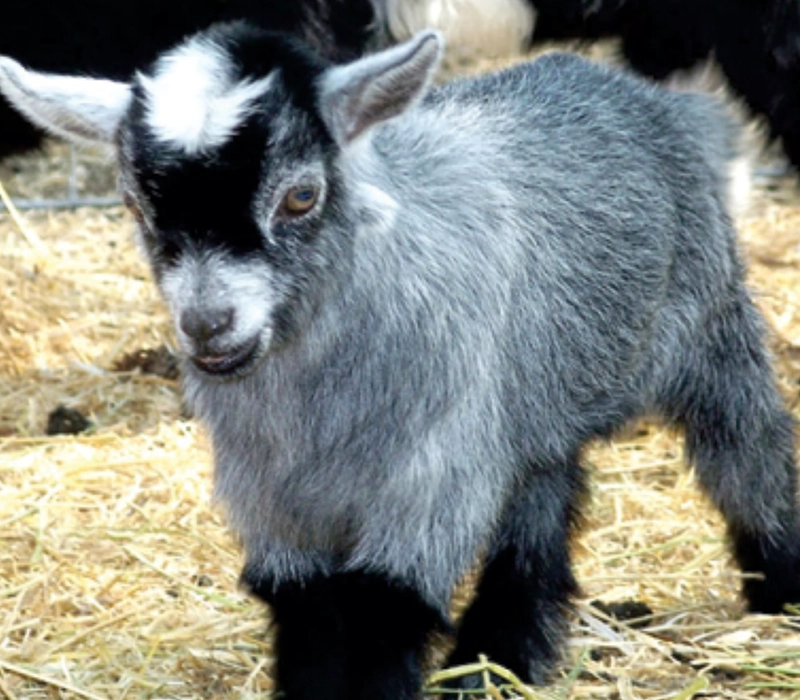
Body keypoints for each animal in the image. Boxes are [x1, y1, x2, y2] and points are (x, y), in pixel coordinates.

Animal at [2, 22, 799, 699]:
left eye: (302, 195)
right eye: (136, 206)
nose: (208, 324)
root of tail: (611, 80)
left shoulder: (431, 478)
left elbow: (385, 614)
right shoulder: (270, 498)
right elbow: (308, 619)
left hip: (710, 325)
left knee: (747, 453)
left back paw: (779, 586)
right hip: (531, 402)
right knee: (543, 505)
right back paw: (501, 659)